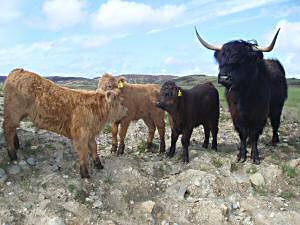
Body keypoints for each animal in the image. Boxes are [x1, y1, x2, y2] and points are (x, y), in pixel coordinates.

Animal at [195, 28, 288, 165]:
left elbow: (255, 134)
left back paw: (274, 140)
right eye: (221, 60)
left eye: (242, 61)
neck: (244, 96)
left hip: (277, 106)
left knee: (275, 123)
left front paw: (255, 157)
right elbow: (242, 133)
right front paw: (241, 155)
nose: (224, 78)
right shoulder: (235, 114)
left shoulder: (260, 114)